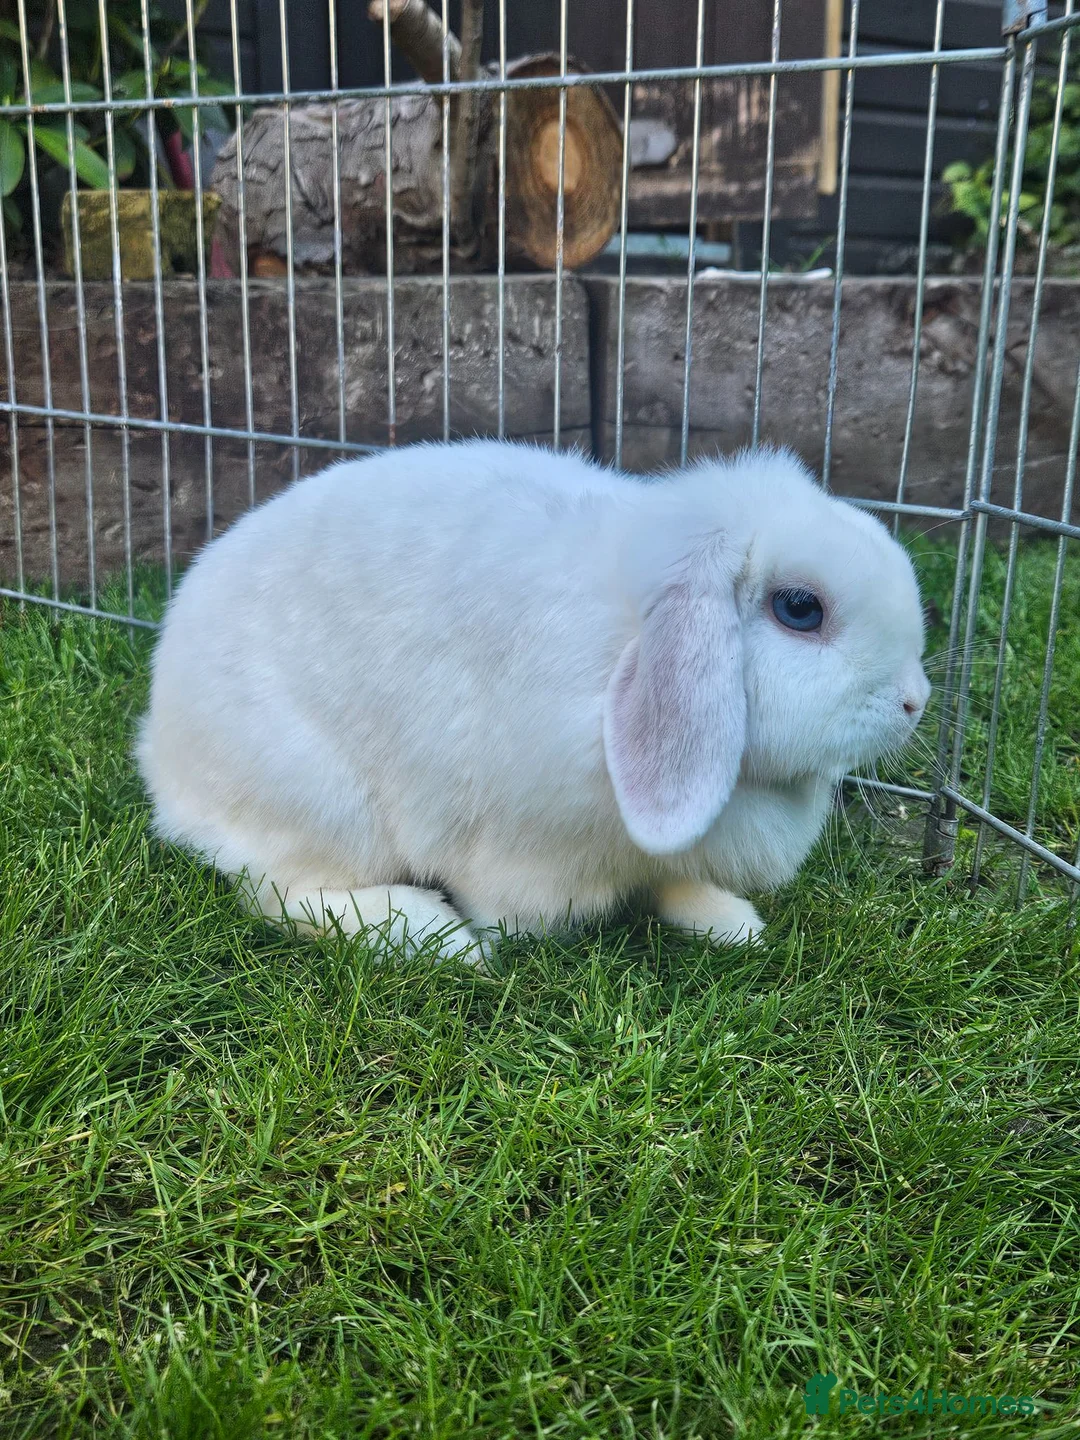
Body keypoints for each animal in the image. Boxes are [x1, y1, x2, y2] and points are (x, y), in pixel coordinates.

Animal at [136, 439, 931, 961]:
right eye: (800, 609)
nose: (914, 701)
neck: (624, 643)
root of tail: (161, 761)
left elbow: (671, 881)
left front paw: (730, 922)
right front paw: (508, 936)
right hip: (319, 801)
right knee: (282, 894)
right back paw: (435, 937)